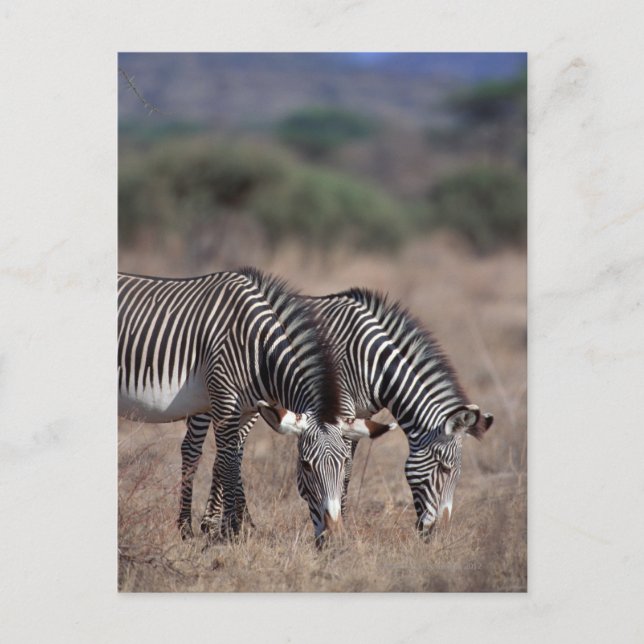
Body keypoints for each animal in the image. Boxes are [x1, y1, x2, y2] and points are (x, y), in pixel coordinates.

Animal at [118, 268, 368, 545]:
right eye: (305, 465)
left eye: (345, 462)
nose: (335, 538)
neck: (259, 349)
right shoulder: (224, 399)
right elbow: (227, 462)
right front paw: (230, 532)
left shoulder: (246, 410)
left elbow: (236, 459)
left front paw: (231, 527)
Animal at [180, 288, 493, 538]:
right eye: (445, 469)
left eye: (458, 474)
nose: (439, 534)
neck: (373, 362)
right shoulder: (339, 407)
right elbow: (341, 469)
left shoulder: (355, 418)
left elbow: (347, 468)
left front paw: (342, 518)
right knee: (194, 446)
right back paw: (203, 525)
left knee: (233, 450)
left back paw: (235, 522)